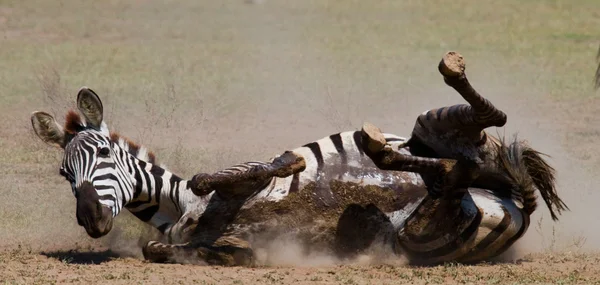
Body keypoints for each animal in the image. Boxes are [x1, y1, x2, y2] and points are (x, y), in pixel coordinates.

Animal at [30, 51, 568, 266]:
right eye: (63, 173)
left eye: (102, 152)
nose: (92, 219)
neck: (176, 208)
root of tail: (514, 196)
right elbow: (161, 248)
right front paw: (232, 251)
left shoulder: (232, 178)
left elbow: (210, 176)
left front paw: (288, 164)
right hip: (422, 230)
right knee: (452, 175)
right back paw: (378, 153)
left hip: (429, 129)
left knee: (483, 127)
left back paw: (444, 78)